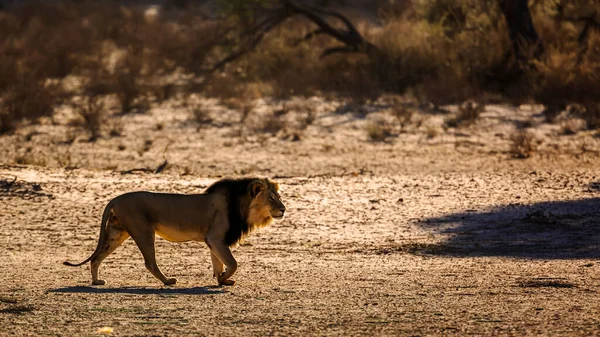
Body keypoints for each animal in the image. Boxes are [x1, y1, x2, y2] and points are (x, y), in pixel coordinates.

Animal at [62, 177, 286, 284]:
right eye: (271, 198)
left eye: (279, 197)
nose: (284, 209)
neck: (244, 206)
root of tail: (114, 199)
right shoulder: (216, 238)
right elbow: (232, 263)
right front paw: (224, 279)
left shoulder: (213, 241)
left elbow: (218, 262)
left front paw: (221, 280)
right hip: (143, 231)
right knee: (150, 262)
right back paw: (168, 281)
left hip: (116, 233)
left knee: (96, 258)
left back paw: (96, 281)